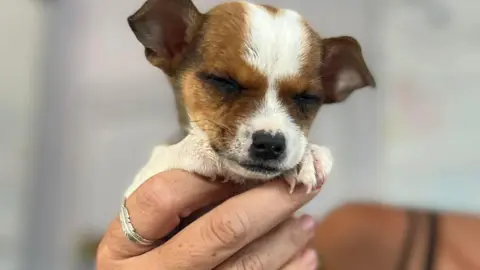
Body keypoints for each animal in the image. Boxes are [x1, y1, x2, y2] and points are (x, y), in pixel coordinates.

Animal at [123, 0, 376, 198]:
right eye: (224, 81)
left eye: (306, 98)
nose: (270, 144)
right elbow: (161, 160)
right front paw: (196, 149)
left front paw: (307, 156)